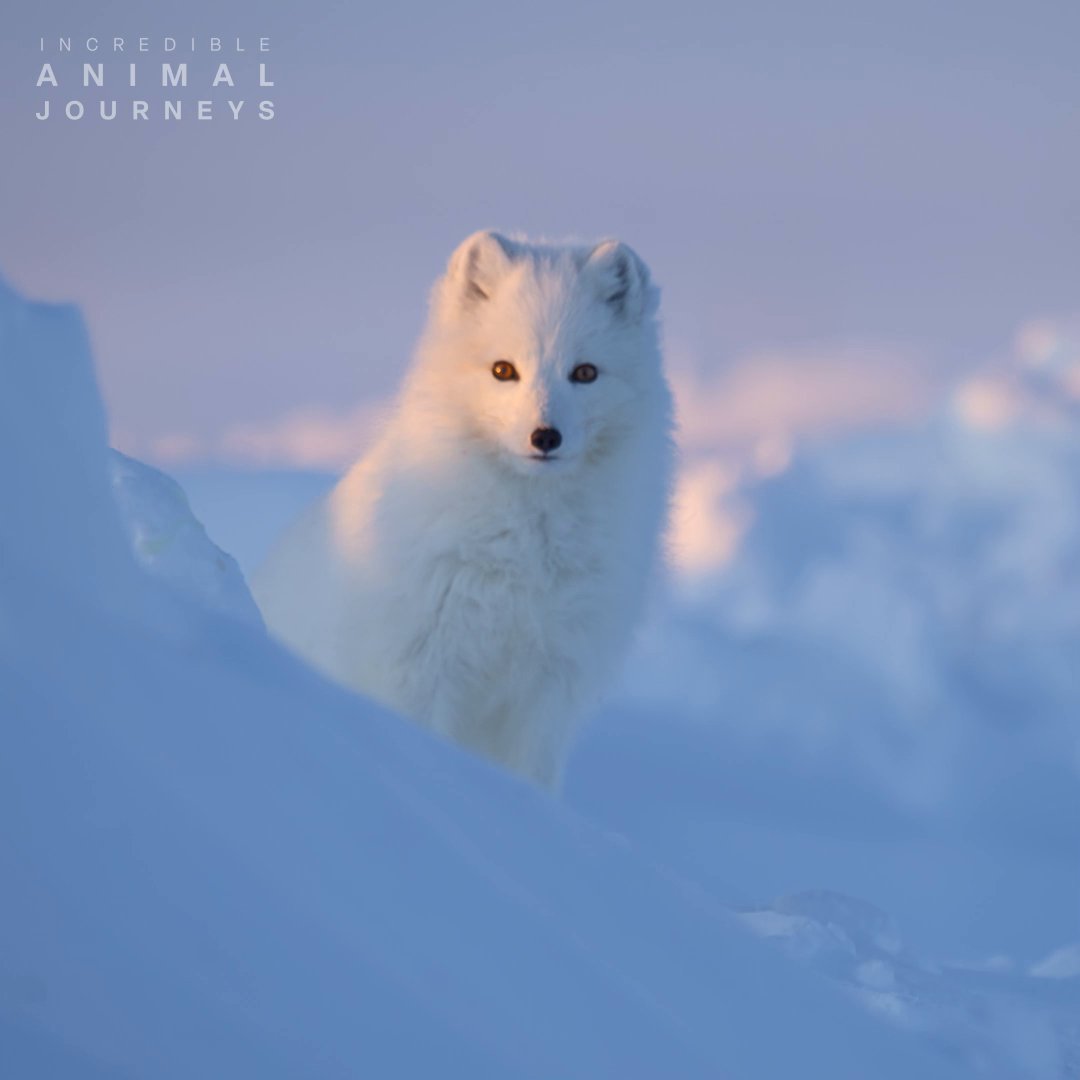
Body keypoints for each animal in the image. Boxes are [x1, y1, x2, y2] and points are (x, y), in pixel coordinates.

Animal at [253, 231, 674, 789]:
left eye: (585, 373)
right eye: (503, 371)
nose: (545, 436)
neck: (525, 549)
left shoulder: (551, 686)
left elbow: (533, 775)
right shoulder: (416, 667)